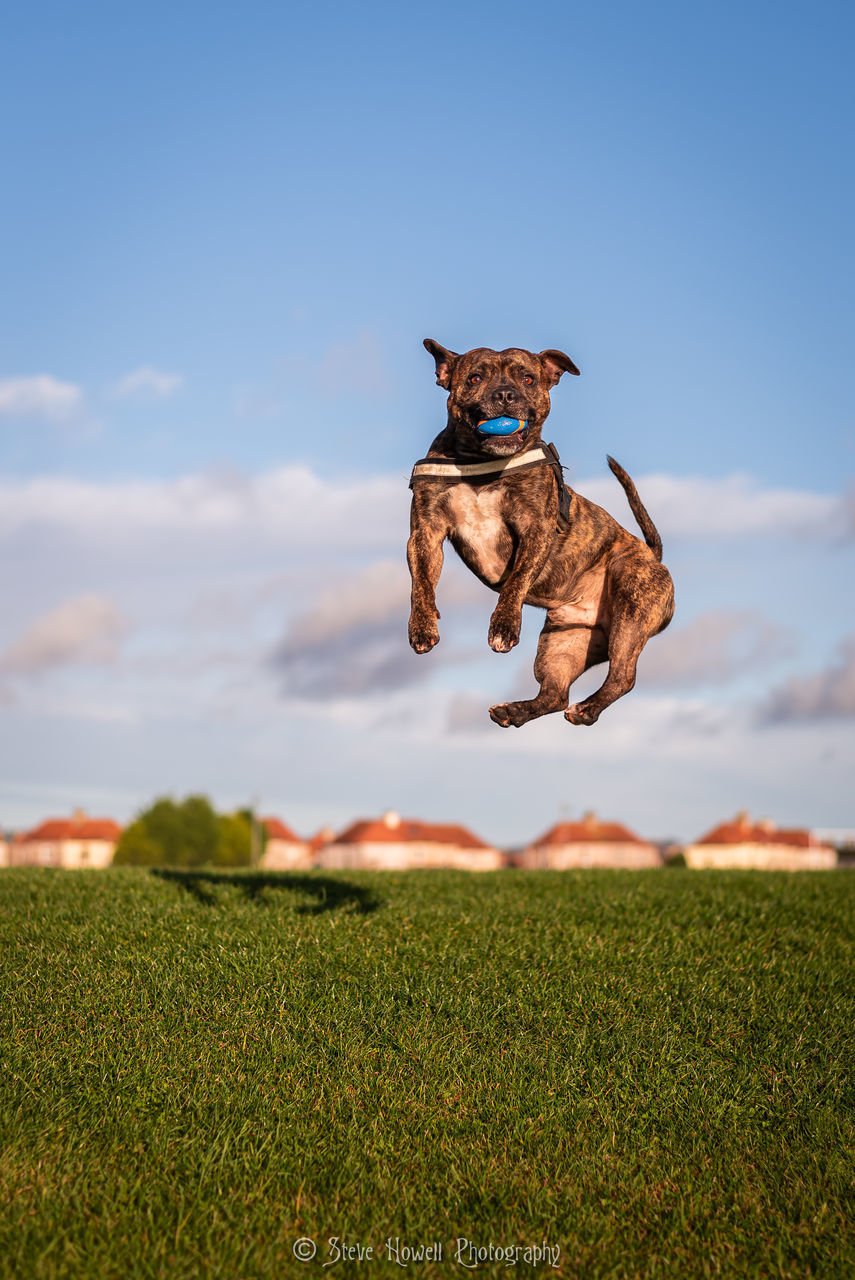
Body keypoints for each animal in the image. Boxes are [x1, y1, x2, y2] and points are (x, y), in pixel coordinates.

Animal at [407, 340, 675, 727]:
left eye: (528, 378)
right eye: (475, 378)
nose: (505, 394)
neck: (480, 463)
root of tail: (654, 556)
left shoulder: (535, 530)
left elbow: (516, 580)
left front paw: (504, 627)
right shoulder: (426, 532)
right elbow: (422, 584)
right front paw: (423, 627)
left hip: (632, 607)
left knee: (623, 676)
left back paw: (587, 709)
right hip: (564, 642)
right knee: (554, 694)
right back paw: (514, 711)